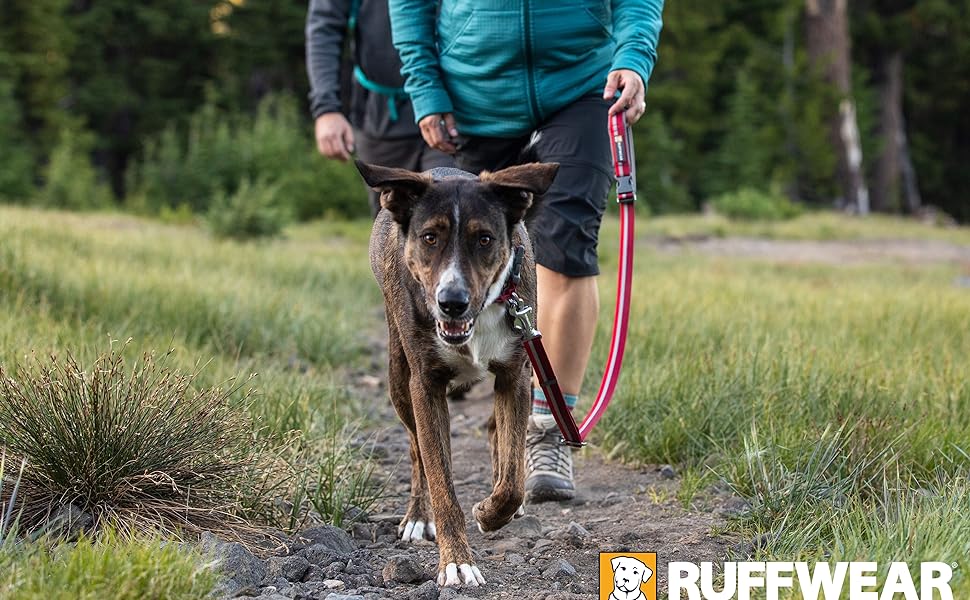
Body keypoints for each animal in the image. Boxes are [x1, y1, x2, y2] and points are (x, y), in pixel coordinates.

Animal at [356, 159, 556, 584]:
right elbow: (440, 481)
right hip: (398, 376)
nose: (452, 302)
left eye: (484, 239)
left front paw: (491, 512)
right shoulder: (425, 385)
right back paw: (418, 517)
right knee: (415, 450)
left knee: (497, 433)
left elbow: (512, 479)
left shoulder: (516, 375)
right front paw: (457, 563)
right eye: (430, 237)